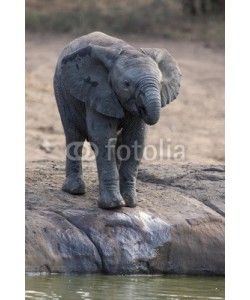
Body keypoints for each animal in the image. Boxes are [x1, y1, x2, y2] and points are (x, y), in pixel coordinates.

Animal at [53, 30, 182, 209]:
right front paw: (113, 206)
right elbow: (103, 137)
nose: (146, 112)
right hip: (62, 91)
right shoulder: (98, 91)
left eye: (160, 82)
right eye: (126, 84)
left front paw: (130, 203)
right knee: (73, 134)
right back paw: (75, 190)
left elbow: (136, 139)